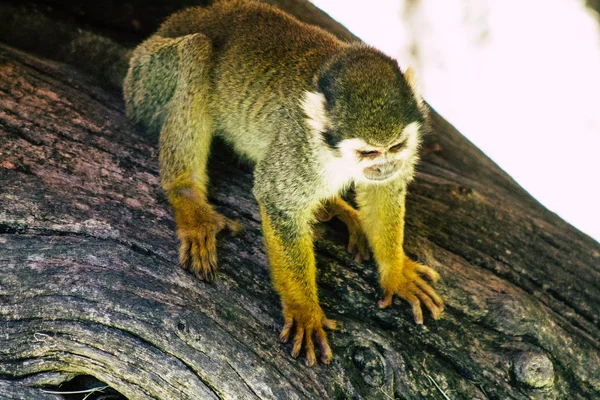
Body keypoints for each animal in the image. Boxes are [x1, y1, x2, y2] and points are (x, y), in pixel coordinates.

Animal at [122, 0, 442, 366]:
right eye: (368, 152)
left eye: (397, 147)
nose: (386, 166)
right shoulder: (298, 143)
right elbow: (277, 200)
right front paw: (304, 310)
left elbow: (384, 190)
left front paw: (396, 271)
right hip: (145, 81)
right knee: (197, 53)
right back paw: (185, 193)